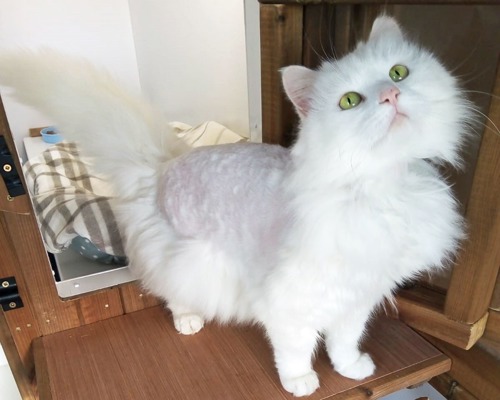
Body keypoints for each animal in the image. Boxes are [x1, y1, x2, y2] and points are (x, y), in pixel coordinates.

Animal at [0, 15, 472, 396]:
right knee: (172, 292)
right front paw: (300, 382)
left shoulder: (357, 295)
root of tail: (164, 165)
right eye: (350, 101)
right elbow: (297, 347)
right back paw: (188, 320)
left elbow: (343, 340)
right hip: (192, 261)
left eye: (398, 72)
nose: (391, 94)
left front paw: (351, 368)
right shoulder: (290, 299)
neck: (383, 186)